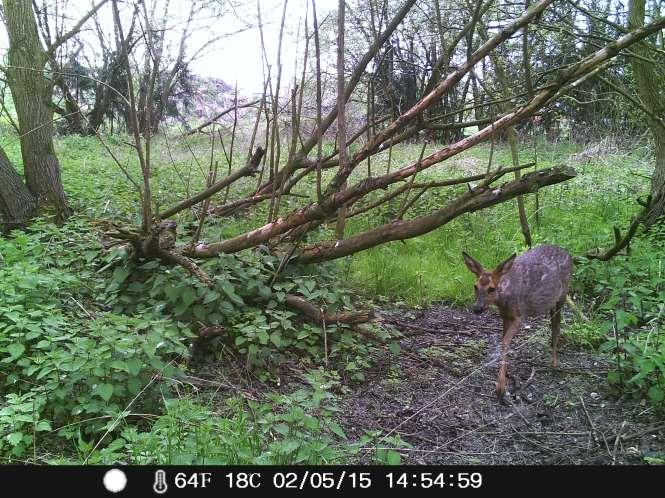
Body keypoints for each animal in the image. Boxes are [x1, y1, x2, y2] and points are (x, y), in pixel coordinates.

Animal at [460, 243, 572, 398]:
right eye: (475, 286)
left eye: (491, 288)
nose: (477, 308)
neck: (506, 298)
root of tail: (568, 253)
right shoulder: (505, 315)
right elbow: (503, 340)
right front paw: (503, 379)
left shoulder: (519, 315)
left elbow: (506, 342)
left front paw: (501, 387)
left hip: (563, 294)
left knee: (557, 326)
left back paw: (554, 364)